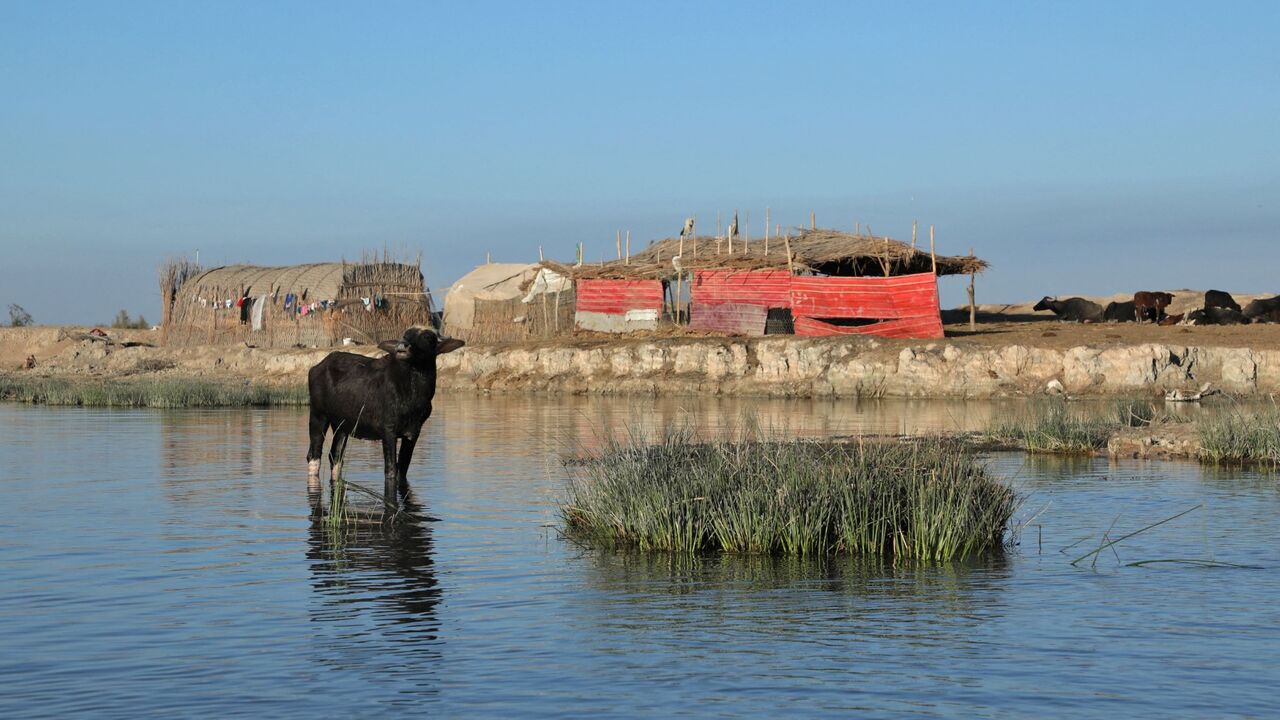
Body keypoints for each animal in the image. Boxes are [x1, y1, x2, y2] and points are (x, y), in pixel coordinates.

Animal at [304, 325, 465, 509]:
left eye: (428, 337)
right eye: (406, 334)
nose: (403, 346)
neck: (413, 396)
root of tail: (316, 367)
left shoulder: (413, 433)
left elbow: (403, 468)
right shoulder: (388, 431)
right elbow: (391, 470)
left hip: (342, 426)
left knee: (335, 456)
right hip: (318, 416)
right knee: (314, 454)